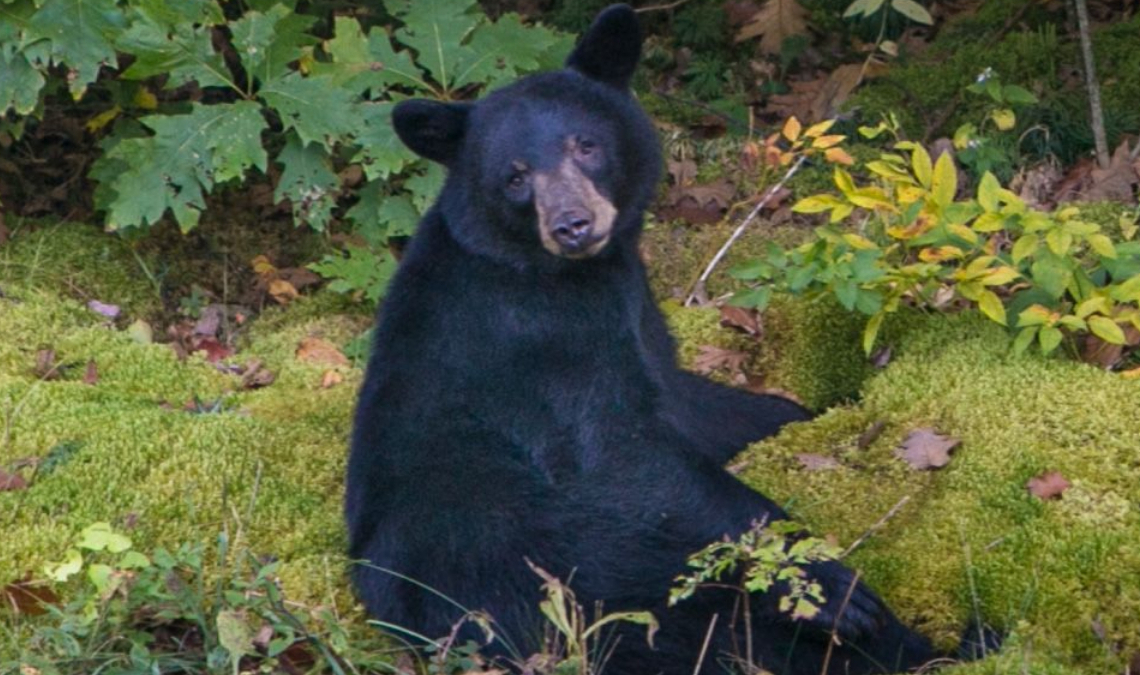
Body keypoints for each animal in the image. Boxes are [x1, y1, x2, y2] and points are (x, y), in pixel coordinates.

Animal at [346, 5, 943, 674]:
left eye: (585, 144)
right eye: (515, 177)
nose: (573, 225)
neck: (558, 271)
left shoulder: (633, 308)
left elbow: (687, 397)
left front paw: (806, 411)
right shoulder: (547, 342)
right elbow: (625, 454)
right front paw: (825, 583)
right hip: (567, 575)